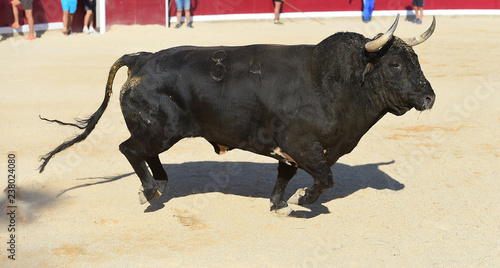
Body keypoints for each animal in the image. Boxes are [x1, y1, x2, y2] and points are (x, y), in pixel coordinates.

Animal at [41, 15, 436, 215]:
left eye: (416, 60)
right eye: (395, 64)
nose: (430, 97)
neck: (334, 81)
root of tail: (142, 57)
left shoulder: (293, 150)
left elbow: (286, 177)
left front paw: (280, 205)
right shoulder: (302, 144)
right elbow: (325, 179)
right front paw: (302, 200)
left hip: (158, 130)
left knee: (143, 152)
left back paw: (159, 186)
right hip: (160, 129)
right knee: (130, 149)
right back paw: (151, 190)